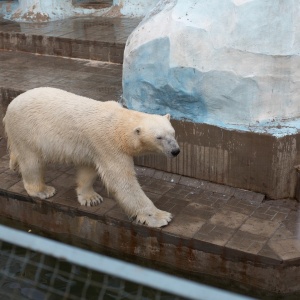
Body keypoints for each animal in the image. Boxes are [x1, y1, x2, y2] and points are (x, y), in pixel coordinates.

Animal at [3, 86, 179, 227]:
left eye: (173, 133)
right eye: (159, 137)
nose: (176, 151)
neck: (118, 123)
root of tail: (10, 105)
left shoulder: (94, 147)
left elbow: (89, 169)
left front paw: (91, 198)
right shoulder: (108, 144)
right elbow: (122, 182)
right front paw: (161, 216)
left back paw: (15, 166)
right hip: (27, 129)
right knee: (32, 162)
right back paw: (42, 190)